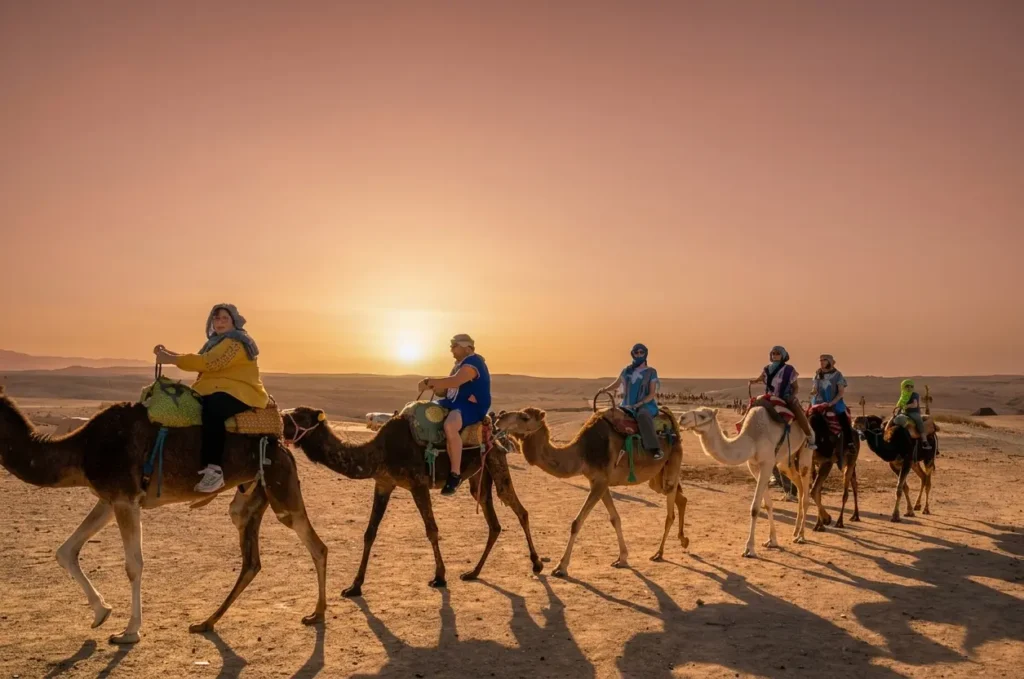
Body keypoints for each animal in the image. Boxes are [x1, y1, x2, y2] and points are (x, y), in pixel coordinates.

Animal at [0, 386, 327, 644]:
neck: (80, 450)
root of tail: (280, 442)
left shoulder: (125, 498)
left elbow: (134, 565)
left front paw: (129, 632)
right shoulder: (109, 498)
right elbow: (65, 551)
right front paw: (101, 612)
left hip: (280, 485)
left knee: (316, 545)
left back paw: (317, 614)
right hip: (251, 496)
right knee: (252, 561)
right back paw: (206, 622)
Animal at [281, 406, 543, 596]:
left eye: (299, 415)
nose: (280, 418)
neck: (379, 451)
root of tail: (495, 433)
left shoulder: (418, 484)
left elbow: (432, 530)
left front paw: (439, 577)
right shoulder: (383, 483)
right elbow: (370, 532)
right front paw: (354, 586)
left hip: (496, 460)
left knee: (518, 508)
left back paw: (537, 564)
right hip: (478, 475)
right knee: (494, 523)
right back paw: (473, 572)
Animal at [493, 406, 688, 578]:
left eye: (525, 417)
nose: (499, 419)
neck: (582, 452)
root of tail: (672, 422)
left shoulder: (600, 482)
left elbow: (576, 523)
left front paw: (561, 567)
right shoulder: (599, 482)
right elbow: (615, 519)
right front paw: (622, 559)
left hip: (673, 462)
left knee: (670, 510)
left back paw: (659, 553)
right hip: (657, 478)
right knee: (681, 498)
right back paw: (683, 540)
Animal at [677, 406, 813, 558]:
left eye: (702, 416)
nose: (681, 418)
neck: (752, 439)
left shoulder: (767, 462)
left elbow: (755, 508)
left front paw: (749, 548)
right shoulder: (754, 465)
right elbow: (768, 504)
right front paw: (772, 540)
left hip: (806, 450)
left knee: (805, 485)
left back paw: (801, 536)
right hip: (784, 461)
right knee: (798, 483)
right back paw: (795, 530)